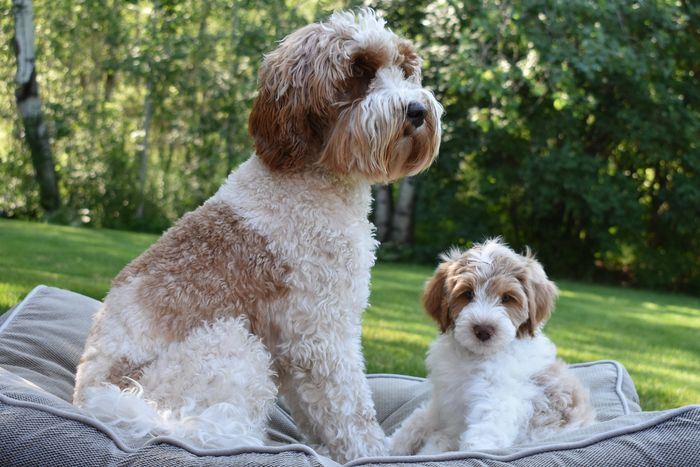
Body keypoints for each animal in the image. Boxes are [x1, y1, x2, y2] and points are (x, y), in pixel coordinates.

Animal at [72, 10, 442, 464]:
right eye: (359, 69)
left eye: (405, 69)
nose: (418, 109)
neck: (308, 176)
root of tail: (99, 401)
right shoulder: (321, 332)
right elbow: (350, 407)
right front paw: (370, 452)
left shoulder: (294, 344)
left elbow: (316, 408)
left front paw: (325, 445)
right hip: (233, 344)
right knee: (225, 433)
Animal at [392, 239, 592, 456]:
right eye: (467, 294)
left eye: (507, 298)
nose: (483, 330)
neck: (475, 357)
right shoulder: (443, 404)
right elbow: (417, 420)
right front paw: (390, 445)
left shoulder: (497, 404)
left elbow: (479, 440)